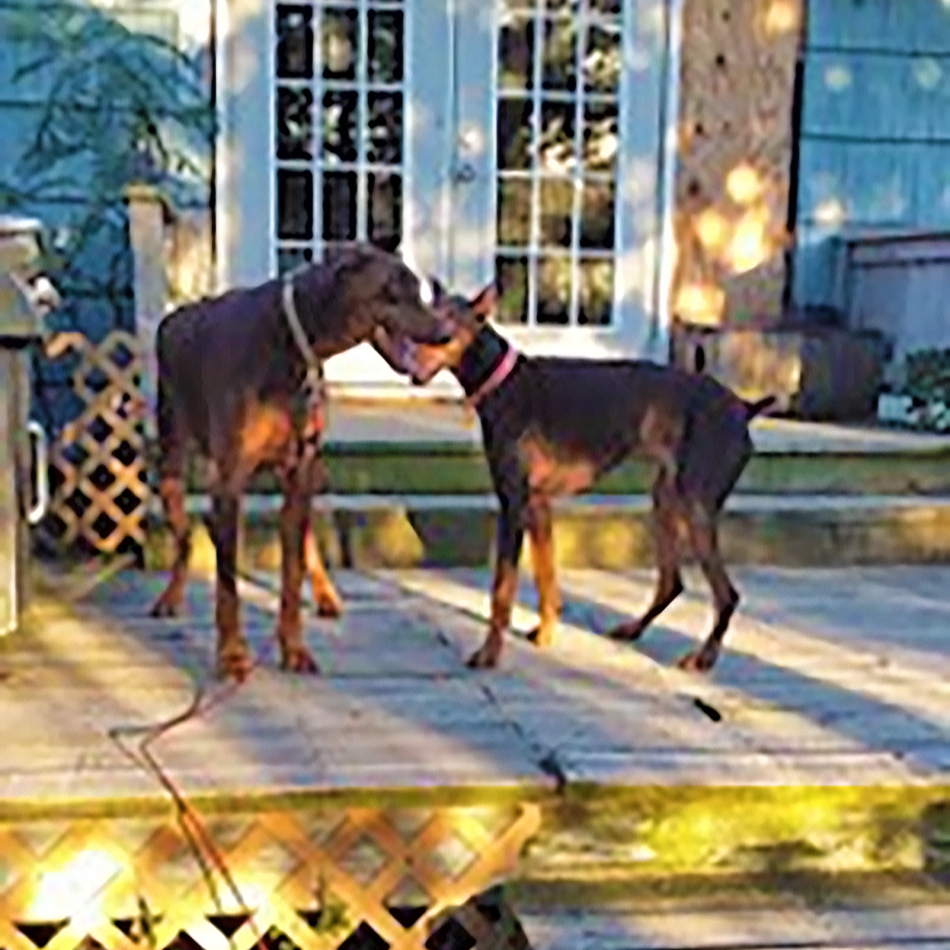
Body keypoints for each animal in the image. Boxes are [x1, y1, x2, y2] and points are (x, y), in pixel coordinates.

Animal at [152, 242, 454, 680]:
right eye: (392, 291)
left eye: (418, 289)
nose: (445, 332)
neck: (294, 345)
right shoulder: (228, 481)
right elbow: (227, 584)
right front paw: (231, 655)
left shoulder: (299, 470)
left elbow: (291, 575)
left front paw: (294, 649)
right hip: (172, 461)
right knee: (183, 537)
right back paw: (170, 597)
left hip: (309, 471)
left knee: (304, 536)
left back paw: (326, 594)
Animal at [378, 284, 772, 676]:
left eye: (445, 329)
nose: (409, 365)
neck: (501, 382)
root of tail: (743, 408)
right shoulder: (537, 505)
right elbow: (546, 575)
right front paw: (545, 632)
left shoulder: (513, 504)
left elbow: (503, 588)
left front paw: (490, 653)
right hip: (665, 499)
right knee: (671, 583)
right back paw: (633, 629)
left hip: (695, 508)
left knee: (727, 594)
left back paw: (704, 657)